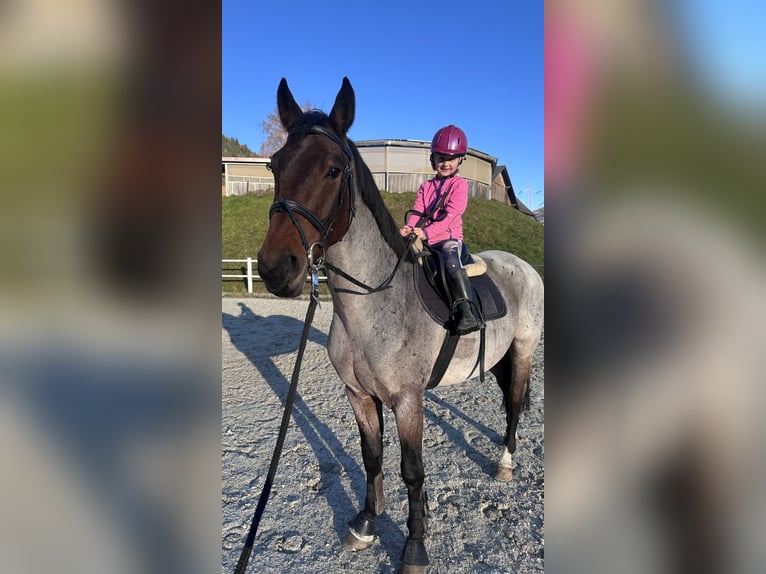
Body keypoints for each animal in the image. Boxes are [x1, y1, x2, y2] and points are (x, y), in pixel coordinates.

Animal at [256, 77, 544, 574]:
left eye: (334, 170)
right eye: (275, 165)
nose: (276, 268)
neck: (372, 306)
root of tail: (523, 266)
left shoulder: (408, 402)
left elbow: (412, 471)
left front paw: (414, 545)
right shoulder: (359, 395)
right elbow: (372, 458)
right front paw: (367, 523)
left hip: (523, 350)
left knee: (512, 405)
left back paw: (505, 461)